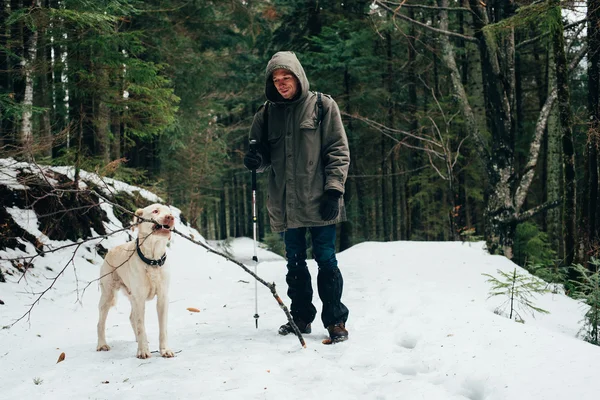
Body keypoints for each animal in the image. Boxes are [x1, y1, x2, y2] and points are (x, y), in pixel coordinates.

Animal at [97, 203, 175, 360]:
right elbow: (141, 326)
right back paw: (102, 344)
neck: (153, 260)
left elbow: (162, 328)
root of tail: (110, 251)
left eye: (169, 212)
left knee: (132, 317)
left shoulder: (163, 298)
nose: (170, 217)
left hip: (131, 296)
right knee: (100, 323)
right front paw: (143, 351)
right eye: (155, 211)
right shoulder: (139, 299)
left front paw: (165, 350)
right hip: (108, 295)